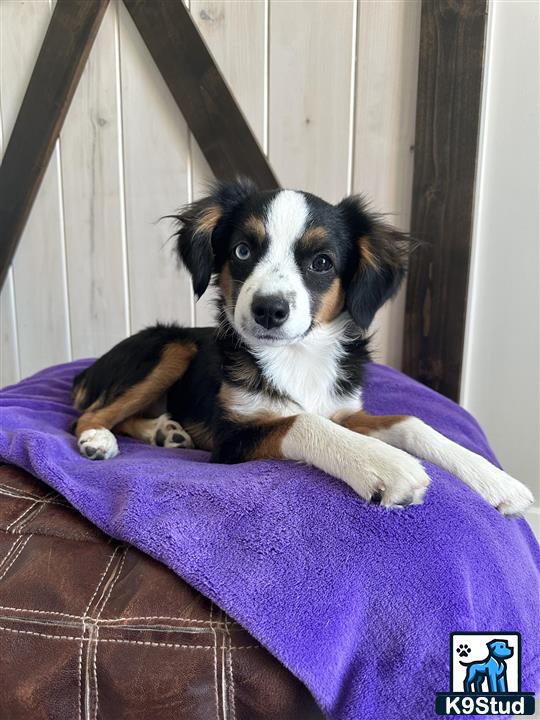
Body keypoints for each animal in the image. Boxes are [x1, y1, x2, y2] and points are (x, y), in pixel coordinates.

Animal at [70, 180, 532, 516]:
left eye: (321, 262)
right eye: (242, 250)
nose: (268, 310)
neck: (298, 355)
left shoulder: (344, 411)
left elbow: (411, 422)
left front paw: (496, 481)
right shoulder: (232, 437)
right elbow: (300, 421)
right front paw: (386, 464)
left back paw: (165, 431)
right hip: (173, 344)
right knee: (88, 415)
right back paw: (99, 440)